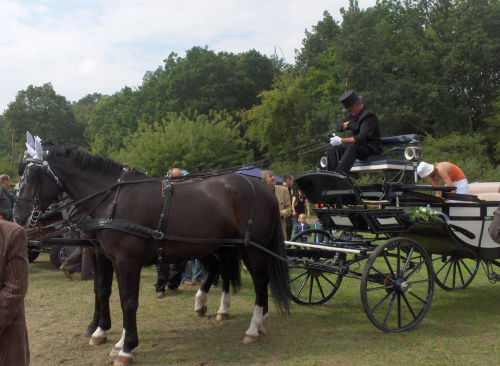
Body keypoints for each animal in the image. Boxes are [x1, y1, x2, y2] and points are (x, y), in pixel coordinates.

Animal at [14, 142, 290, 366]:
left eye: (33, 174)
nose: (18, 215)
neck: (113, 199)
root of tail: (263, 188)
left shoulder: (127, 261)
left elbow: (128, 301)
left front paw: (126, 348)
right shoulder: (113, 259)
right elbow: (111, 293)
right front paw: (115, 338)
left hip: (252, 246)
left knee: (259, 280)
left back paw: (253, 328)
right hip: (225, 246)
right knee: (230, 271)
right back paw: (244, 316)